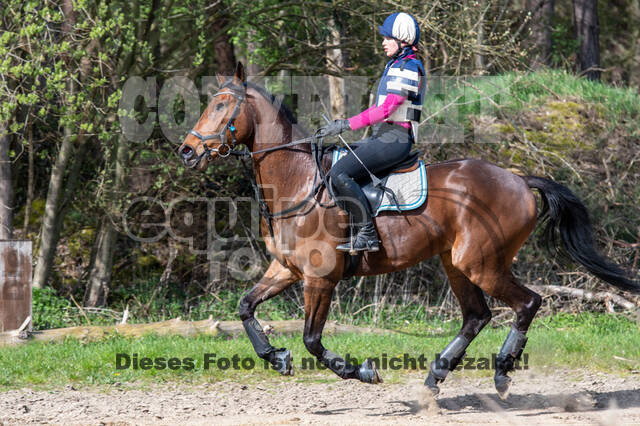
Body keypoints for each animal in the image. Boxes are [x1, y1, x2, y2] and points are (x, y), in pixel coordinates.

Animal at [176, 63, 640, 400]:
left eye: (221, 106)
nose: (187, 151)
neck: (298, 181)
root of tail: (520, 180)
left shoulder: (319, 278)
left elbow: (311, 339)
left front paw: (361, 370)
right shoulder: (286, 269)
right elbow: (245, 307)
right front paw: (274, 357)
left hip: (481, 262)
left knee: (528, 303)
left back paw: (502, 372)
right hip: (456, 262)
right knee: (477, 316)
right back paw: (436, 375)